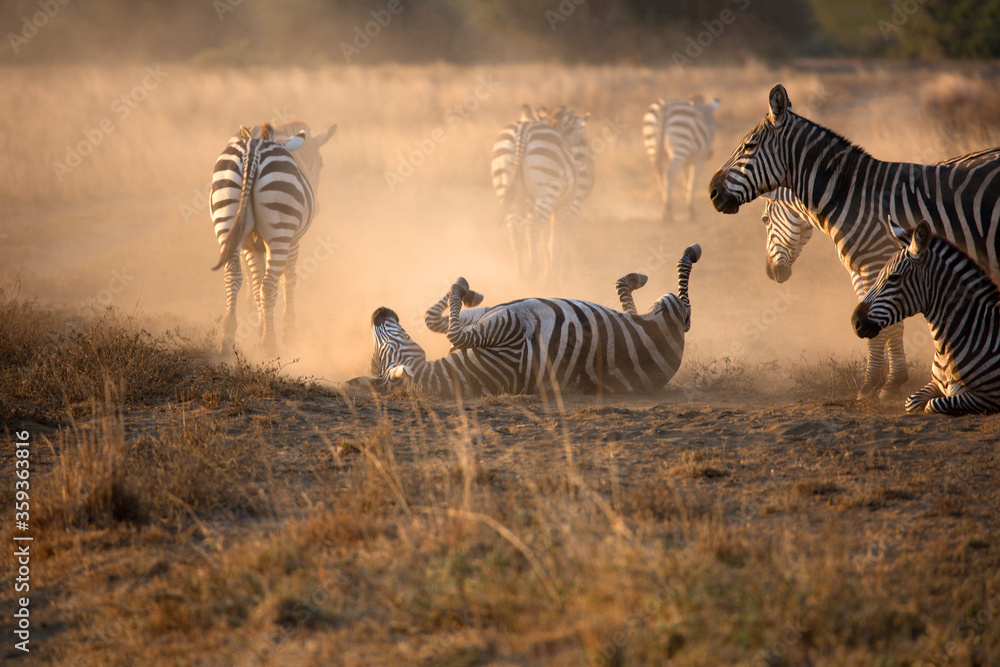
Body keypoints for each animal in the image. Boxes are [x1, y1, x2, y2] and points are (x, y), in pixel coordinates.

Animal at [211, 121, 336, 353]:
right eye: (321, 164)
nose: (320, 207)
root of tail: (253, 152)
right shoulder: (293, 242)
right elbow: (289, 279)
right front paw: (288, 332)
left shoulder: (252, 245)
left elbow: (256, 284)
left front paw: (260, 329)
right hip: (281, 229)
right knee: (270, 285)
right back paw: (270, 343)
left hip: (225, 218)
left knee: (233, 275)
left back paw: (228, 339)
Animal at [352, 244, 701, 397]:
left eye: (379, 352)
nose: (377, 312)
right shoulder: (502, 328)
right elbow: (452, 332)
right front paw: (462, 287)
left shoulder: (486, 318)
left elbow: (434, 320)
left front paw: (467, 290)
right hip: (669, 311)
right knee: (684, 302)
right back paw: (682, 256)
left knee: (630, 305)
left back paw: (634, 280)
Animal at [491, 105, 594, 283]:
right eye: (581, 139)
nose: (590, 172)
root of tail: (523, 131)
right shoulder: (567, 204)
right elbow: (558, 239)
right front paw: (556, 278)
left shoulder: (528, 204)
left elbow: (541, 241)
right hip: (547, 191)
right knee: (533, 226)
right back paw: (533, 274)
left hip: (505, 184)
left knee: (514, 229)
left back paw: (522, 276)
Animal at [643, 94, 719, 222]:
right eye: (713, 127)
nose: (711, 153)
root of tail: (664, 107)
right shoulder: (699, 159)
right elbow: (693, 182)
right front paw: (691, 212)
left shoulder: (685, 163)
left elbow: (685, 182)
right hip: (680, 146)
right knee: (668, 175)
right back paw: (668, 211)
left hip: (652, 146)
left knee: (659, 175)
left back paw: (666, 207)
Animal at [853, 219, 1000, 415]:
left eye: (894, 277)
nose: (855, 322)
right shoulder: (935, 383)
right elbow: (911, 401)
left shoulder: (990, 396)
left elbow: (933, 404)